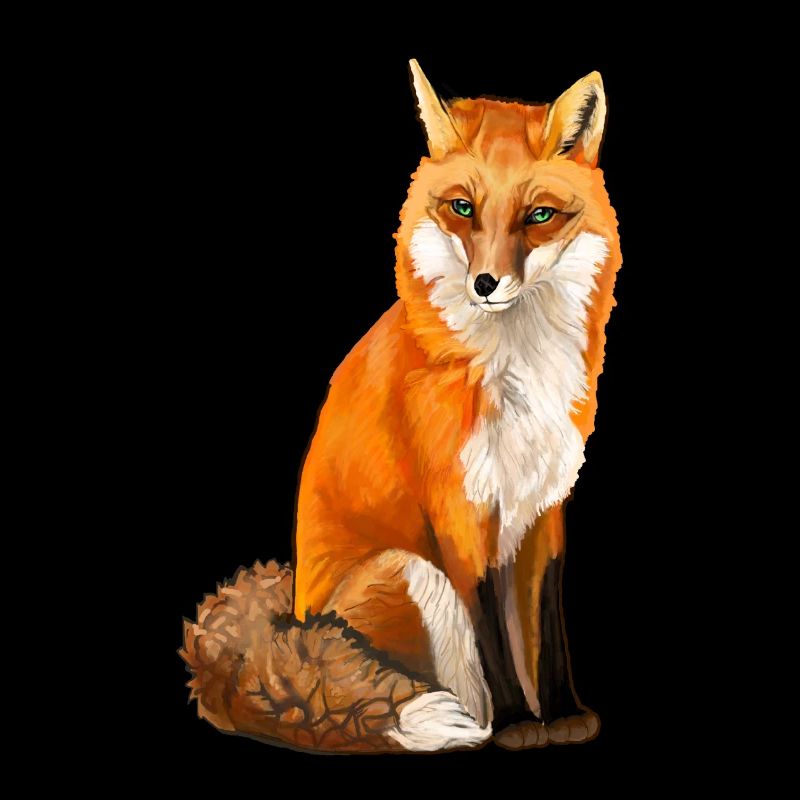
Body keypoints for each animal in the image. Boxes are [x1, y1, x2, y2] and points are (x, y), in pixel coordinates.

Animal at [182, 60, 622, 754]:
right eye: (463, 208)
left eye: (539, 215)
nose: (485, 284)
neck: (516, 372)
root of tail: (288, 620)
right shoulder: (459, 512)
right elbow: (493, 637)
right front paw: (520, 724)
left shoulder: (543, 507)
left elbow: (547, 630)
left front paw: (562, 714)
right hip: (411, 570)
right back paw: (472, 723)